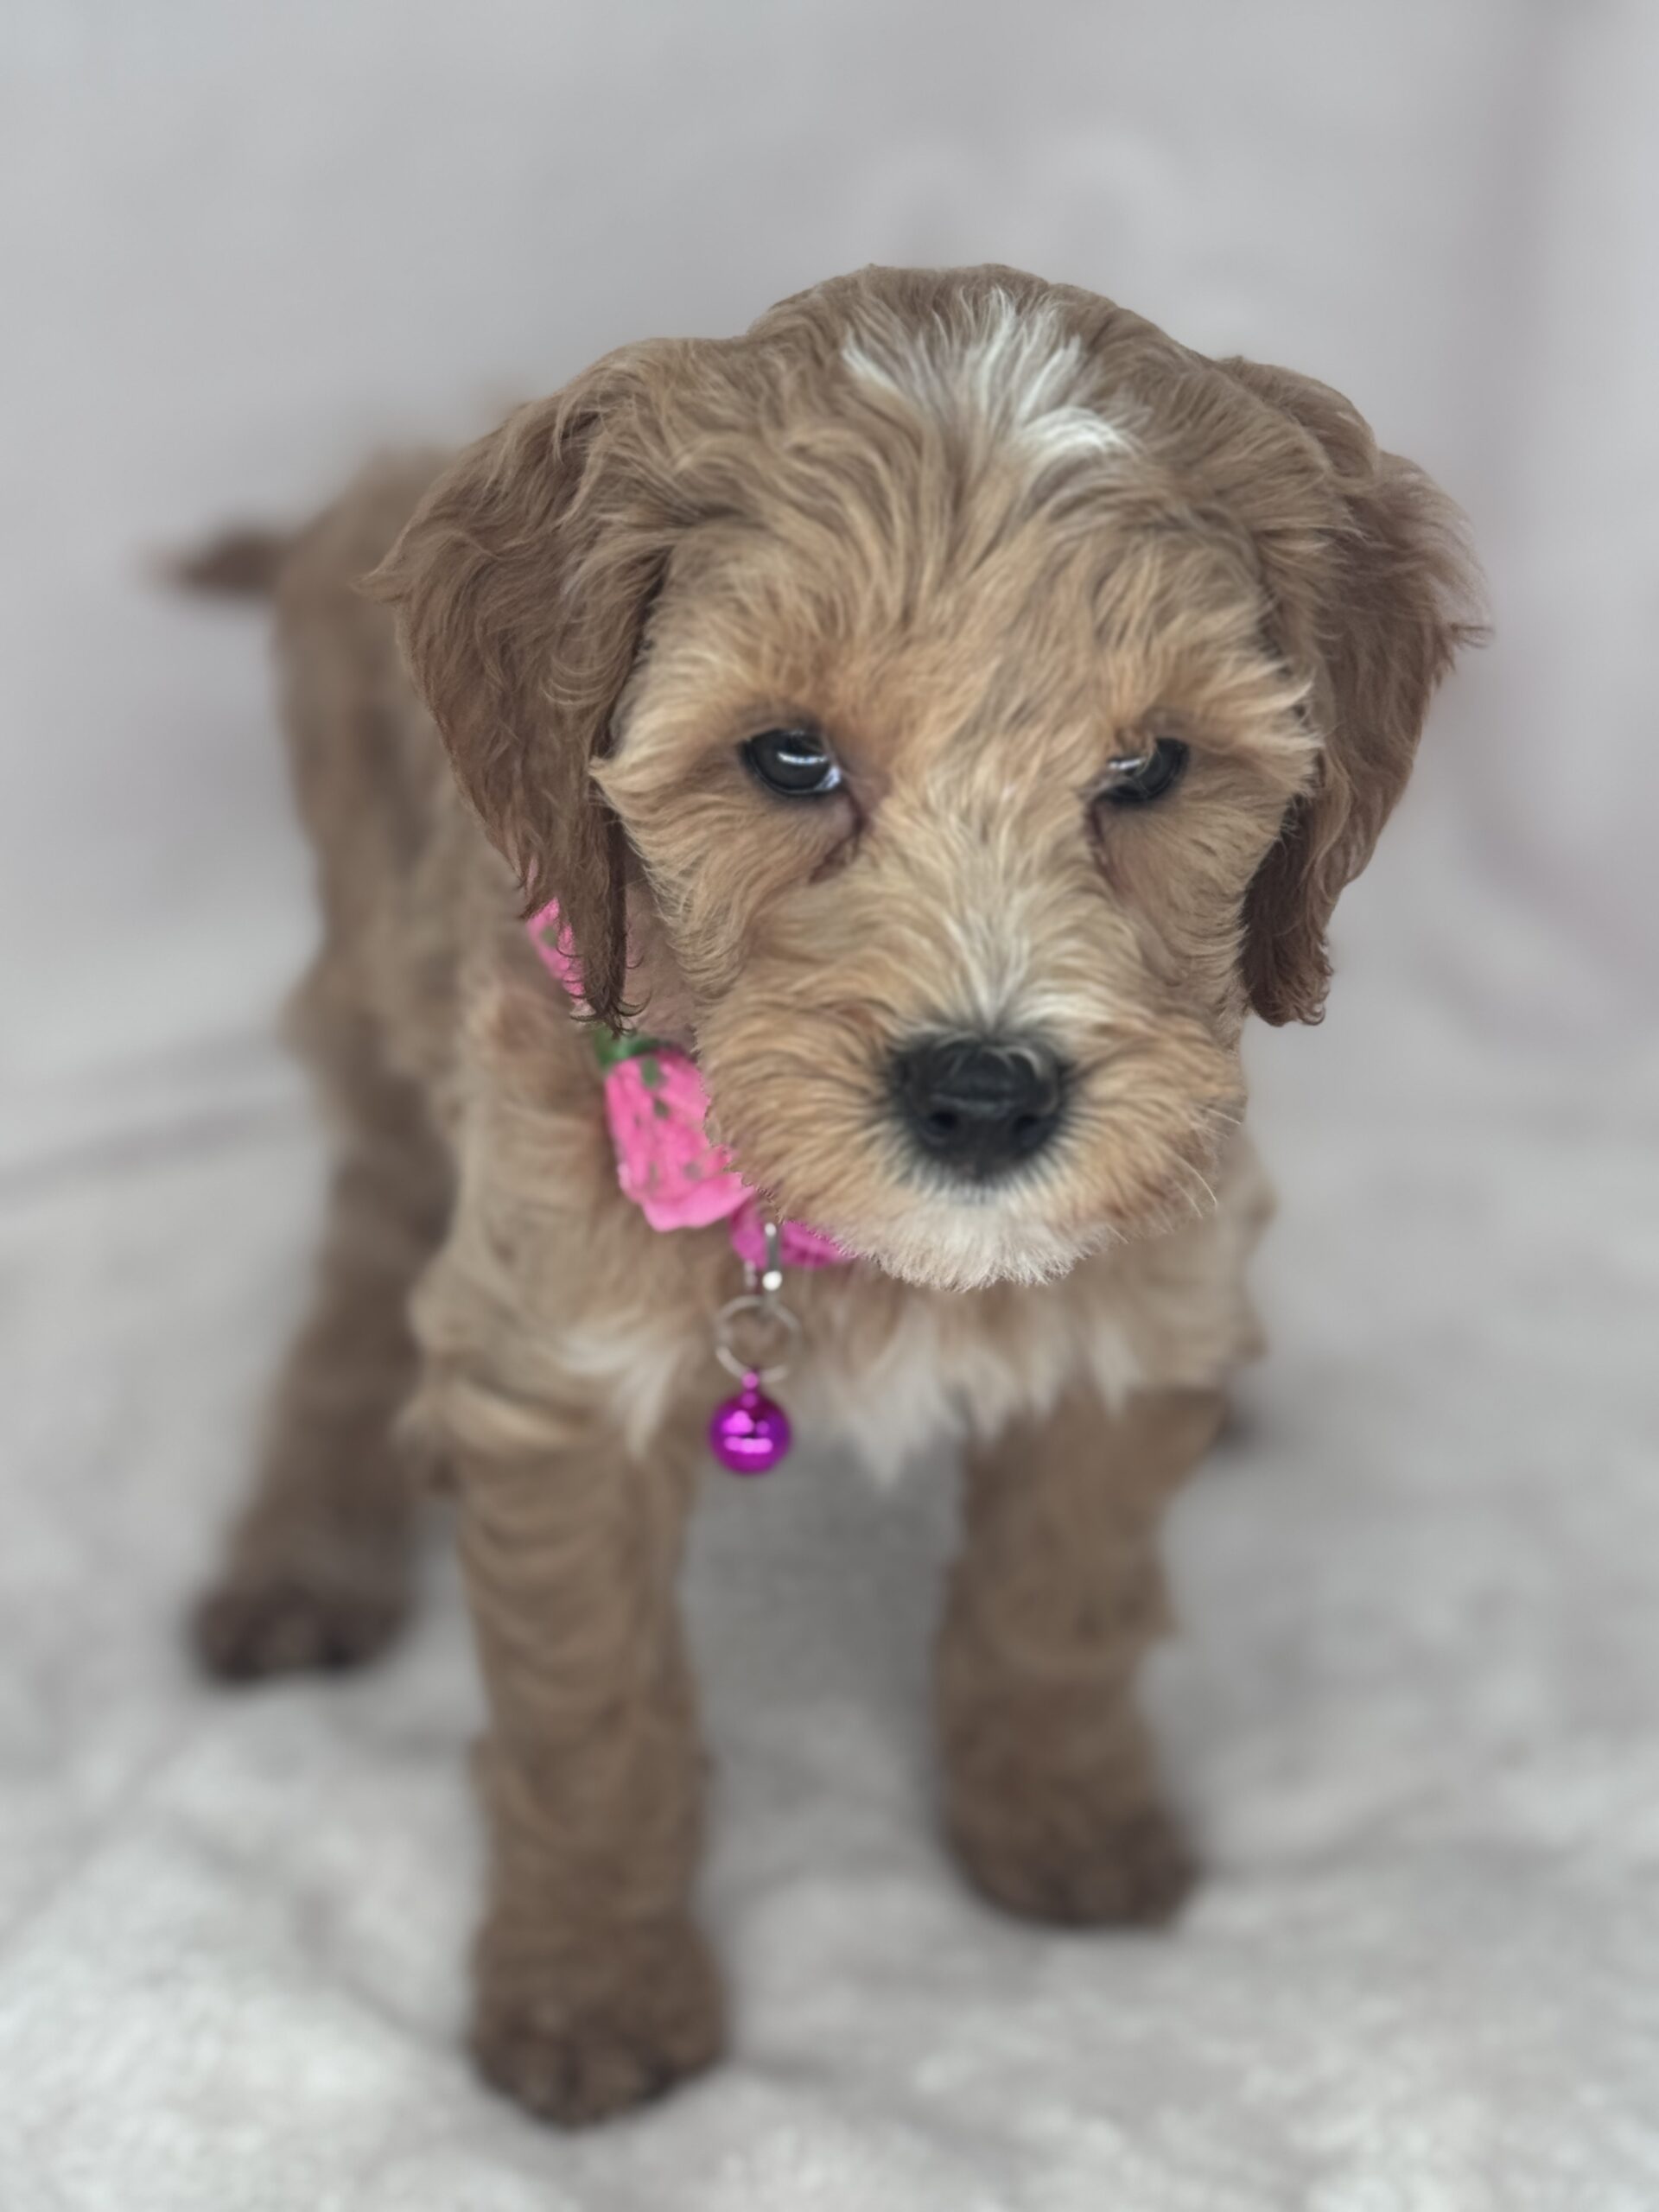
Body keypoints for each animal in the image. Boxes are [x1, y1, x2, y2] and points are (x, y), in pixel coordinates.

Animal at [192, 264, 1480, 2125]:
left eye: (1153, 766)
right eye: (788, 757)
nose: (985, 1094)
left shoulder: (1143, 1302)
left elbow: (1061, 1602)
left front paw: (1063, 1820)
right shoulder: (554, 1358)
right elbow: (589, 1709)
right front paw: (594, 1986)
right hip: (379, 1019)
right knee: (364, 1270)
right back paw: (307, 1550)